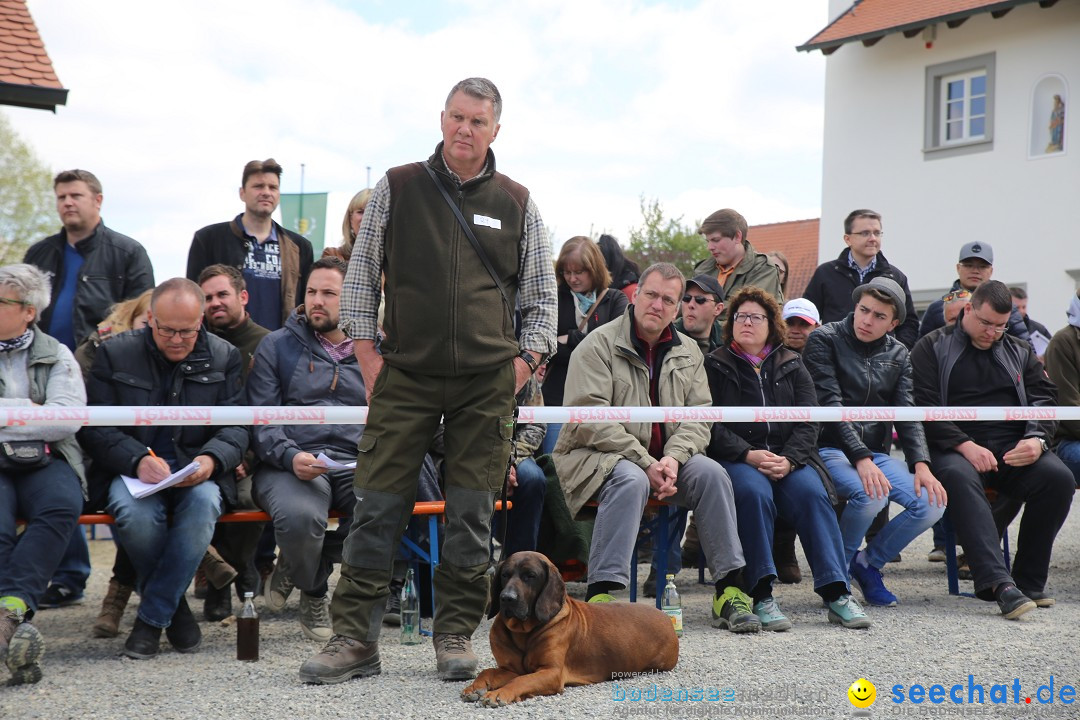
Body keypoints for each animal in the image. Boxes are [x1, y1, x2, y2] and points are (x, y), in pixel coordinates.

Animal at [462, 552, 678, 708]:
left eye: (530, 576)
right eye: (505, 574)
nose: (506, 598)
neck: (524, 632)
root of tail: (666, 617)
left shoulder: (551, 672)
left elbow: (521, 681)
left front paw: (500, 693)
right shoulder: (512, 669)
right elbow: (488, 672)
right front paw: (475, 687)